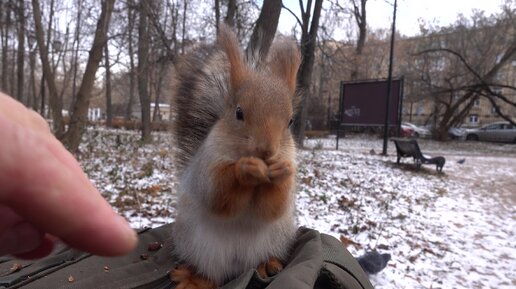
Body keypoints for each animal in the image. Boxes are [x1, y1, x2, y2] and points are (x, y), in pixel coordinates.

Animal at [169, 25, 300, 288]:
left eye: (291, 121)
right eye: (238, 113)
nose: (266, 151)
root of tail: (238, 267)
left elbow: (273, 207)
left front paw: (280, 172)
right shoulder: (205, 166)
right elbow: (216, 194)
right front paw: (245, 169)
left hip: (275, 239)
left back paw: (267, 264)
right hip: (201, 249)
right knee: (210, 275)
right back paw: (193, 279)